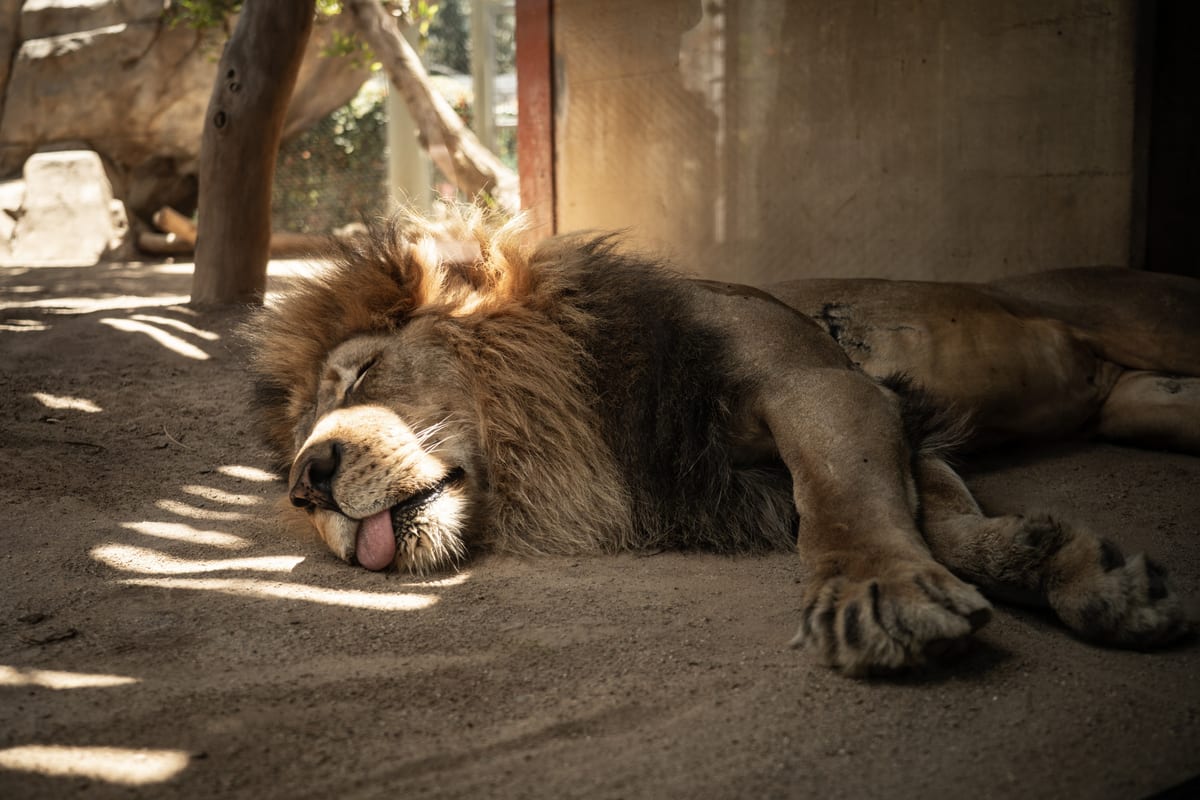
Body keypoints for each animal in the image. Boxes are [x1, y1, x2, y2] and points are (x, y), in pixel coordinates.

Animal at [247, 211, 1195, 676]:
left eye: (361, 377)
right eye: (295, 455)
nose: (308, 482)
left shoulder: (822, 387)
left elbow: (843, 504)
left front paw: (880, 594)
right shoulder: (891, 430)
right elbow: (946, 525)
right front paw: (1079, 567)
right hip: (1140, 405)